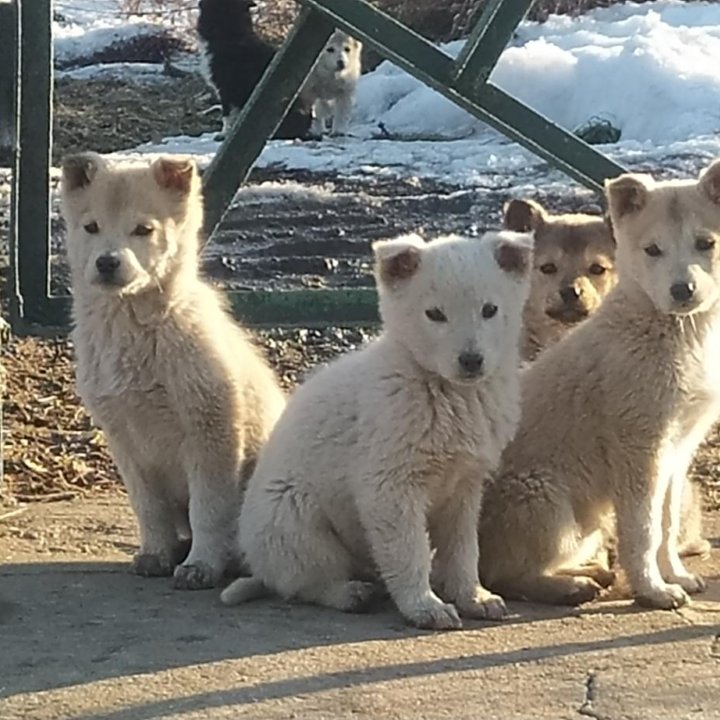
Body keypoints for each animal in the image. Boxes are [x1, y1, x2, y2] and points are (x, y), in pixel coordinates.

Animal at [59, 152, 284, 592]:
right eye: (91, 227)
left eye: (144, 230)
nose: (107, 262)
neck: (137, 328)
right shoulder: (124, 440)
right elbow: (149, 507)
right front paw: (157, 553)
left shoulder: (211, 431)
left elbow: (209, 508)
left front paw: (202, 565)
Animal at [224, 232, 536, 632]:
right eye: (435, 314)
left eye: (490, 309)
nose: (471, 361)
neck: (443, 391)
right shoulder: (389, 486)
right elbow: (409, 551)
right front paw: (425, 607)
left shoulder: (464, 487)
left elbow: (464, 549)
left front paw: (474, 597)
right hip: (292, 519)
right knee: (303, 581)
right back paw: (350, 593)